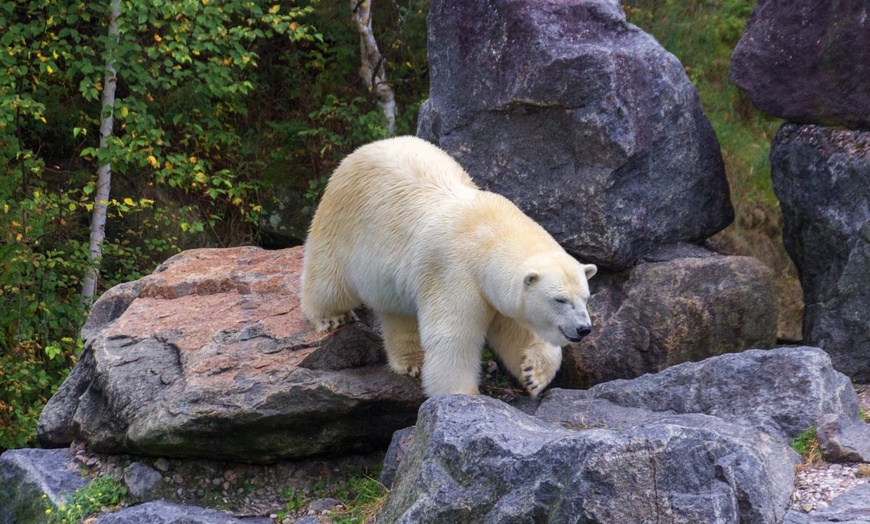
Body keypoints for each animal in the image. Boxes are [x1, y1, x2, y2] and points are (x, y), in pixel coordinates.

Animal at [302, 136, 600, 398]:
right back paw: (331, 317)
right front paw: (463, 396)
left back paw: (411, 361)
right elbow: (453, 338)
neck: (490, 235)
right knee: (330, 281)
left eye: (585, 298)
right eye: (559, 299)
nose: (584, 329)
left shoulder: (494, 289)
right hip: (342, 226)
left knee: (398, 312)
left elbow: (517, 328)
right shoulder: (454, 272)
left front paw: (533, 374)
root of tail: (361, 150)